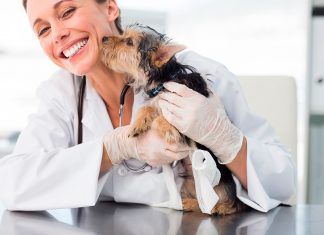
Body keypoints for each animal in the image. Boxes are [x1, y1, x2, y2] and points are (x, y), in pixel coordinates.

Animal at [101, 24, 246, 215]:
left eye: (129, 42)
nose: (103, 38)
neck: (164, 80)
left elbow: (162, 119)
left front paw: (168, 130)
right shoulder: (156, 101)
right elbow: (147, 108)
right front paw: (138, 124)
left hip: (218, 187)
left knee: (220, 206)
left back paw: (212, 206)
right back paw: (187, 202)